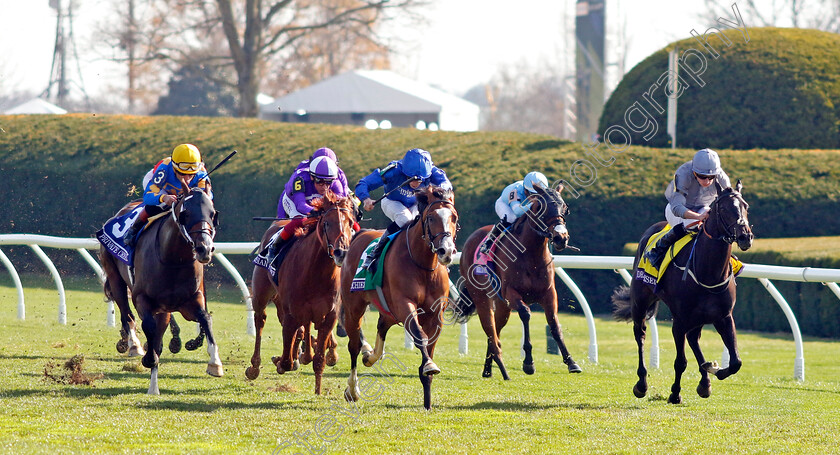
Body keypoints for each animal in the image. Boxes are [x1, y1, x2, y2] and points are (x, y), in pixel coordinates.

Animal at [99, 186, 223, 396]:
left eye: (212, 214)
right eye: (185, 214)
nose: (204, 249)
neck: (173, 259)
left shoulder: (191, 301)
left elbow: (206, 319)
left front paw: (215, 363)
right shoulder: (142, 298)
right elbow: (149, 327)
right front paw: (148, 356)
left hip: (164, 309)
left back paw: (153, 385)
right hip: (116, 279)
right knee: (127, 315)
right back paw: (134, 346)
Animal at [246, 193, 358, 396]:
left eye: (350, 222)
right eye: (327, 223)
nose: (341, 252)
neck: (315, 272)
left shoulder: (329, 316)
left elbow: (319, 358)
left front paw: (318, 391)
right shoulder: (292, 313)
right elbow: (287, 360)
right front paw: (282, 361)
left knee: (301, 329)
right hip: (262, 293)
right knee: (260, 321)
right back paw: (255, 366)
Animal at [342, 185, 460, 410]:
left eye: (454, 217)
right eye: (431, 217)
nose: (446, 251)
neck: (423, 265)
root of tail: (360, 234)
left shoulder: (435, 314)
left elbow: (430, 345)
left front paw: (427, 400)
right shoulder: (405, 304)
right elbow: (420, 335)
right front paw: (429, 365)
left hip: (388, 310)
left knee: (381, 327)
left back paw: (370, 357)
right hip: (353, 307)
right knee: (353, 345)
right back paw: (353, 389)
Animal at [456, 184, 580, 382]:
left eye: (565, 208)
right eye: (543, 208)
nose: (561, 237)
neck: (531, 255)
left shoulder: (549, 293)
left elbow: (554, 324)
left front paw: (571, 362)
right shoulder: (512, 293)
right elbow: (526, 314)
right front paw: (528, 363)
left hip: (502, 305)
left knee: (496, 330)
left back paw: (488, 369)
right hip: (481, 296)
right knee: (490, 329)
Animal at [612, 180, 756, 404]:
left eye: (745, 206)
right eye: (724, 208)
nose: (745, 236)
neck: (708, 272)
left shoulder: (724, 316)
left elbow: (736, 362)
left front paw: (713, 369)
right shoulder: (679, 320)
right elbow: (680, 362)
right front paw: (675, 393)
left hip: (698, 317)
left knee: (694, 339)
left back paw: (705, 381)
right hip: (640, 301)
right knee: (640, 334)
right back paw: (641, 383)